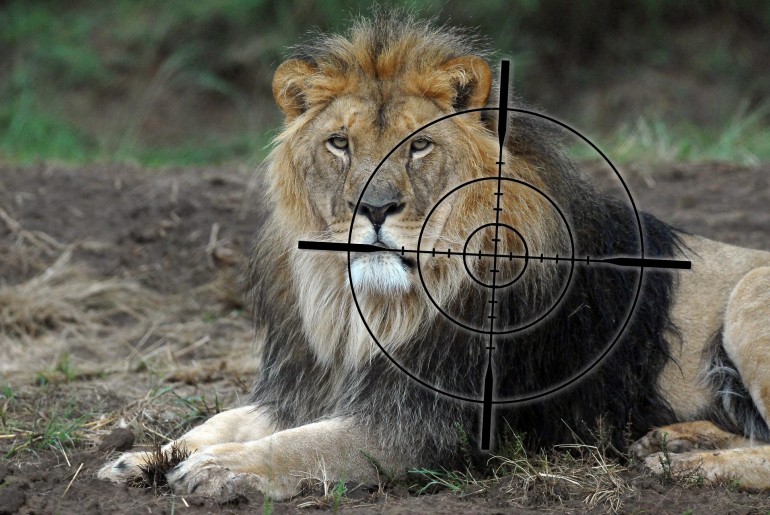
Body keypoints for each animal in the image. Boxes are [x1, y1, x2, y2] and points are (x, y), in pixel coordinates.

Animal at [100, 11, 770, 498]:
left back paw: (691, 468)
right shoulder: (312, 387)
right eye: (339, 143)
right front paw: (142, 457)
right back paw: (674, 443)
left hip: (749, 295)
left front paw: (220, 469)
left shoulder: (425, 426)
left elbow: (307, 446)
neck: (361, 309)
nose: (374, 209)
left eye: (419, 146)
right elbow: (222, 421)